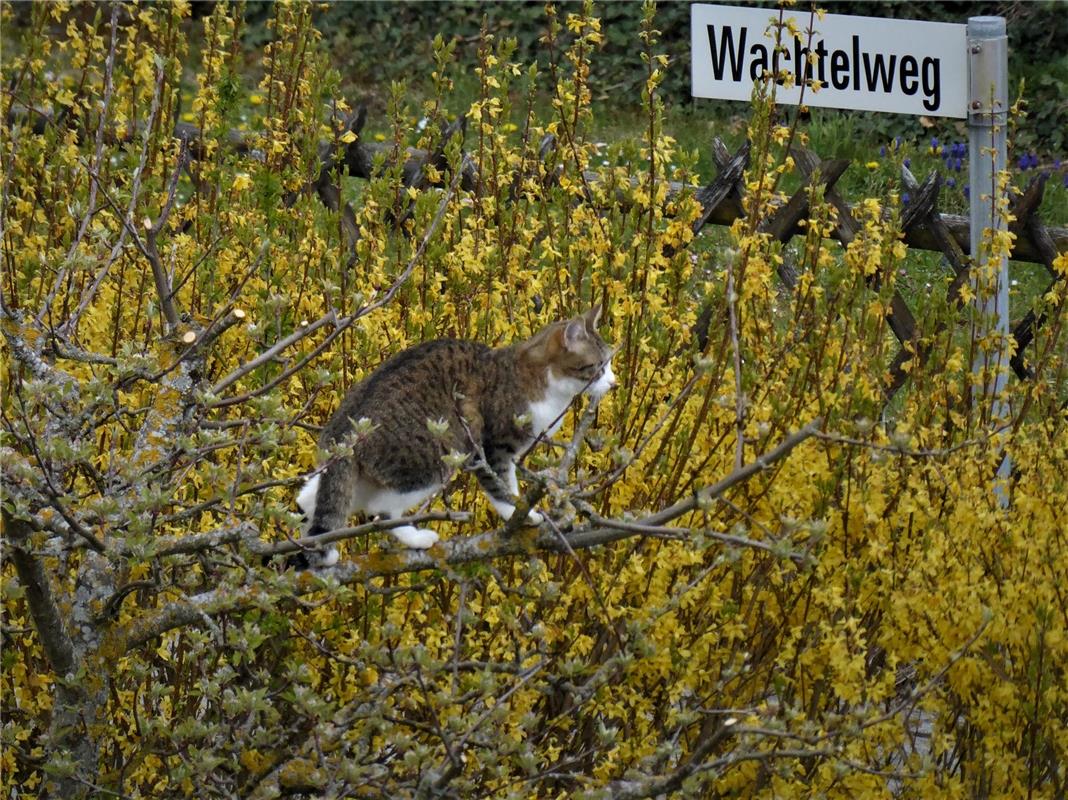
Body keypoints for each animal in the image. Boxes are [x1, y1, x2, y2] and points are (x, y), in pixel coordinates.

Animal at [290, 303, 619, 563]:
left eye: (610, 364)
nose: (614, 383)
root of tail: (346, 430)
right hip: (435, 458)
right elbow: (502, 486)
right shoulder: (492, 448)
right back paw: (416, 537)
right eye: (599, 367)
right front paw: (520, 514)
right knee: (379, 511)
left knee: (314, 499)